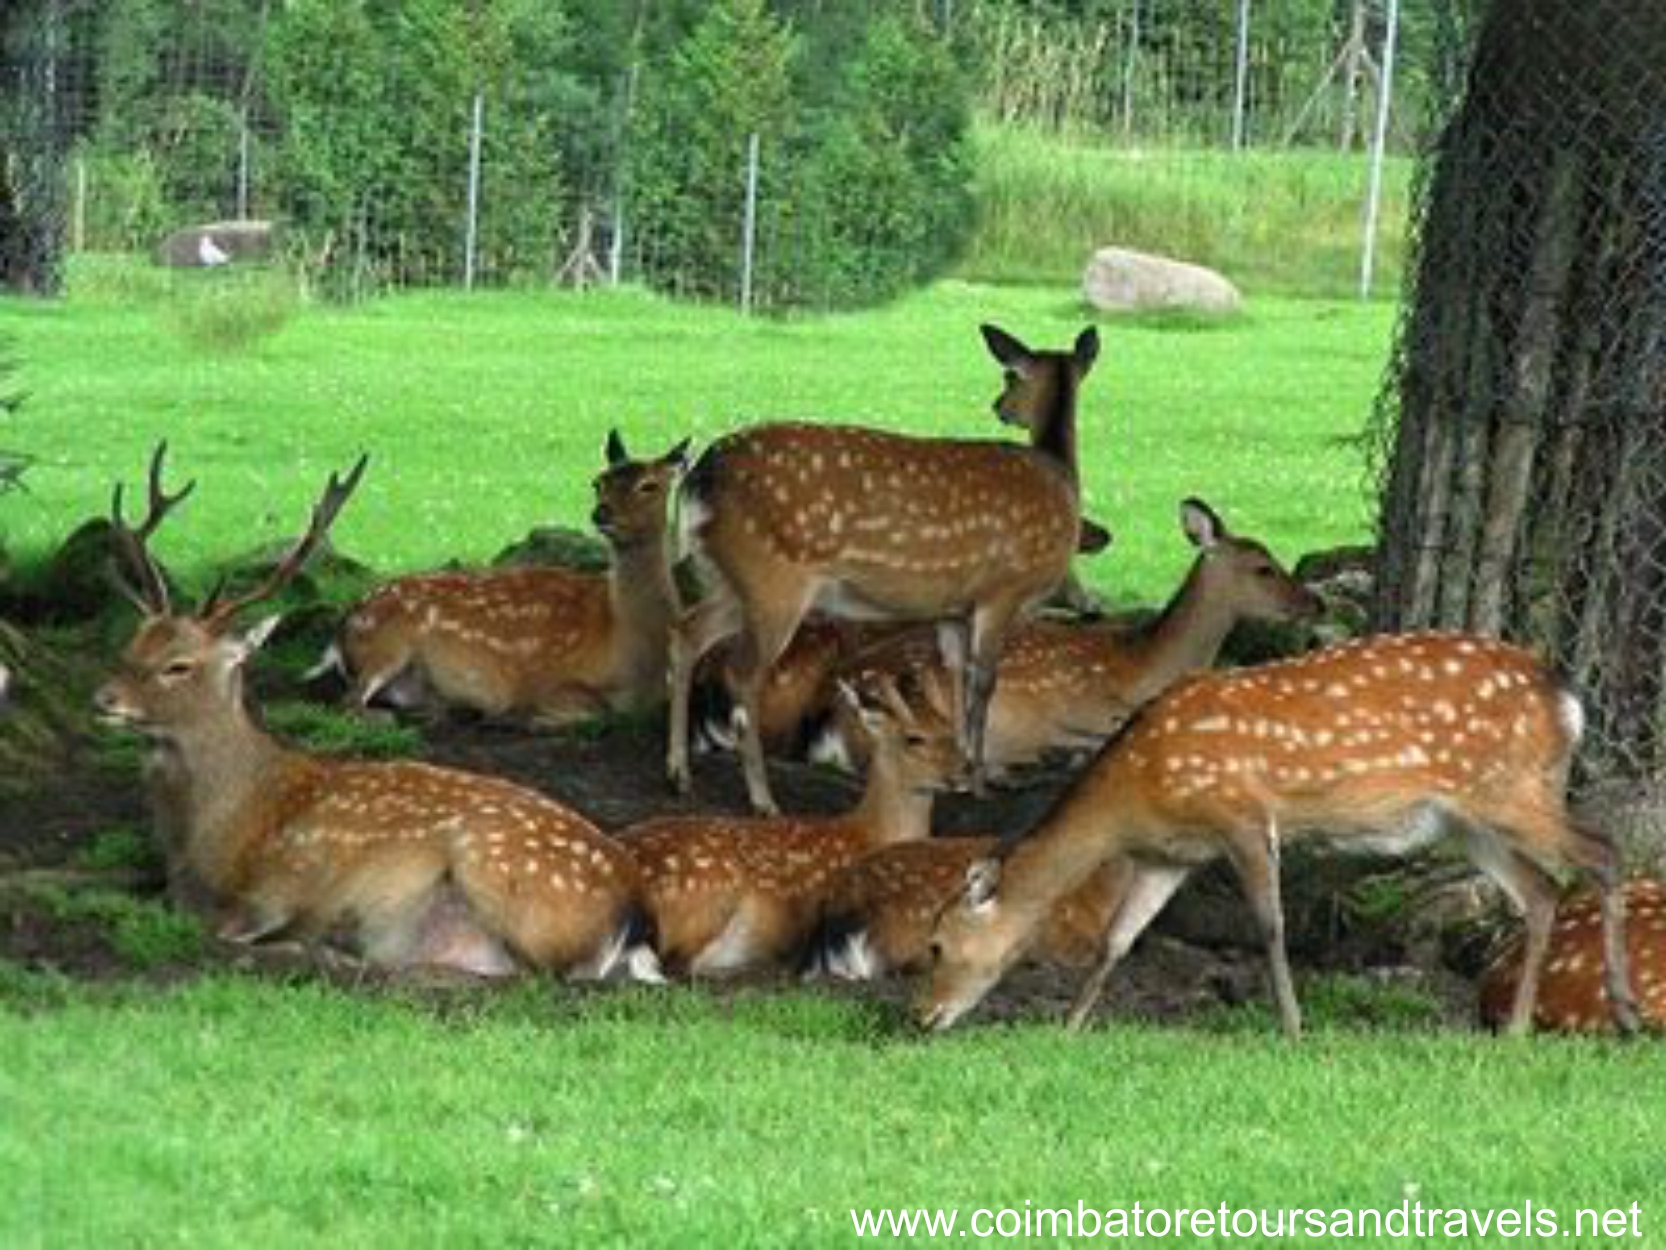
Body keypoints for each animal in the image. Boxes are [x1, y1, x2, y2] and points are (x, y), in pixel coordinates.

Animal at [96, 443, 661, 983]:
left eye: (178, 665)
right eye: (131, 645)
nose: (103, 698)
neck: (211, 834)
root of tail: (632, 914)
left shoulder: (275, 889)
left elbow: (221, 931)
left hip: (504, 874)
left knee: (531, 975)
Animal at [325, 431, 687, 726]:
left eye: (649, 485)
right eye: (598, 482)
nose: (601, 512)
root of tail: (345, 624)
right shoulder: (550, 680)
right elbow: (593, 708)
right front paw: (521, 716)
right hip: (388, 642)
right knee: (349, 704)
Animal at [620, 678, 962, 977]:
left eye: (953, 732)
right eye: (914, 738)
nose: (965, 770)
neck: (871, 833)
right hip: (708, 894)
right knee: (677, 964)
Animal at [667, 323, 1102, 814]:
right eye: (1009, 375)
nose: (999, 406)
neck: (1060, 478)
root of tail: (697, 479)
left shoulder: (955, 610)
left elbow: (955, 679)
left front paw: (965, 769)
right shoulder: (1004, 592)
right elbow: (983, 683)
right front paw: (980, 781)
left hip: (730, 581)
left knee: (686, 632)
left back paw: (679, 775)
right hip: (774, 582)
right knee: (743, 674)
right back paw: (763, 799)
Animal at [915, 631, 1641, 1038]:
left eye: (937, 944)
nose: (922, 1015)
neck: (1137, 790)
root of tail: (1567, 701)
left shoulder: (1241, 814)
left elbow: (1270, 925)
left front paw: (1293, 1028)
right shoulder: (1169, 854)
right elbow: (1116, 940)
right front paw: (1068, 1027)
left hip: (1510, 788)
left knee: (1604, 852)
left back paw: (1627, 1011)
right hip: (1466, 818)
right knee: (1541, 889)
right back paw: (1516, 1029)